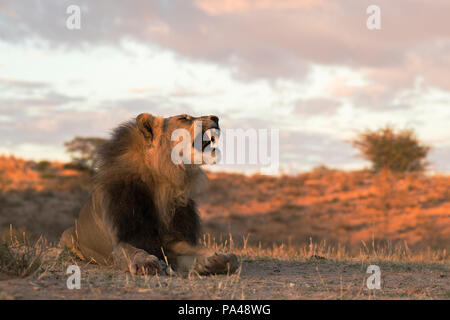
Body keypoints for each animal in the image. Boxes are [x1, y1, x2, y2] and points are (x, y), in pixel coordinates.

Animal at [59, 114, 239, 276]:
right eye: (183, 118)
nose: (215, 117)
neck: (162, 188)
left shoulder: (172, 242)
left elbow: (201, 251)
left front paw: (219, 258)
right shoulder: (119, 241)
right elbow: (132, 251)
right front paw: (146, 262)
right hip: (67, 235)